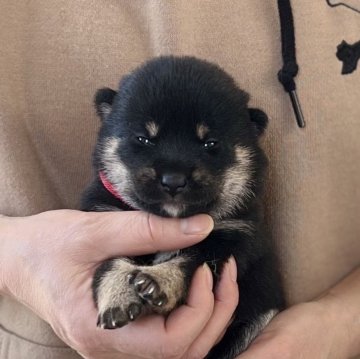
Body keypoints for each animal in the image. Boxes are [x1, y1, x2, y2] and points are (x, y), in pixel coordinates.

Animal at [81, 56, 284, 359]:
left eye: (210, 143)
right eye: (143, 139)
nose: (174, 180)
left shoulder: (231, 238)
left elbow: (190, 261)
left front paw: (158, 281)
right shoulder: (107, 221)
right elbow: (112, 262)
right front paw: (117, 295)